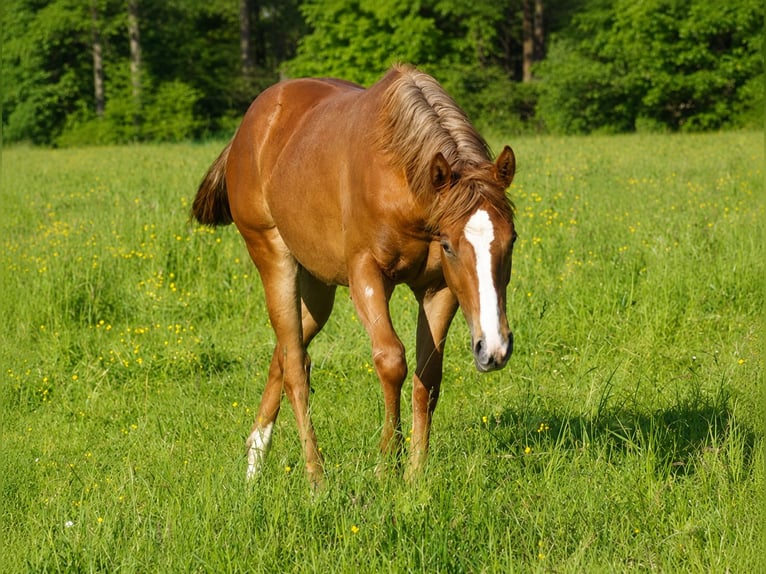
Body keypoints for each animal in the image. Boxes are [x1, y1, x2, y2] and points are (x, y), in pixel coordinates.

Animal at [192, 64, 517, 485]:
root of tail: (249, 126)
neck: (399, 173)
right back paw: (315, 476)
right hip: (273, 259)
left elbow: (428, 376)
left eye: (512, 239)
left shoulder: (438, 288)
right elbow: (391, 361)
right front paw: (386, 465)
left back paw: (254, 462)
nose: (494, 349)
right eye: (448, 245)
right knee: (295, 367)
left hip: (317, 289)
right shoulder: (367, 275)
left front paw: (415, 475)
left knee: (286, 352)